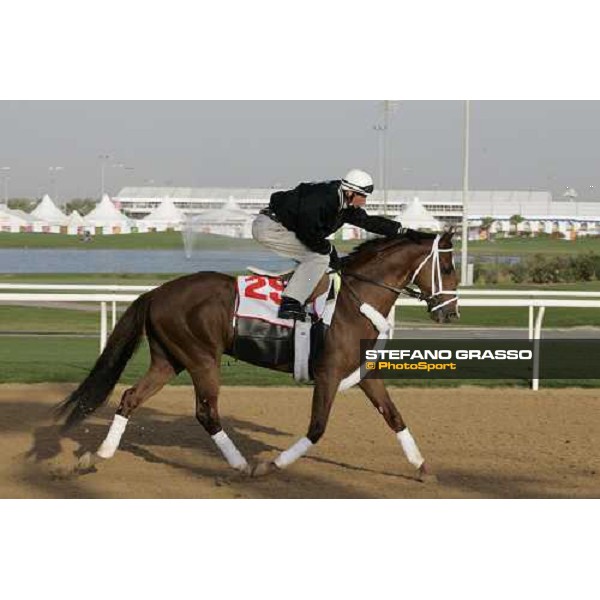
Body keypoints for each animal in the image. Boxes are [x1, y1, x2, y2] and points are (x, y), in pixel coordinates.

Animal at [57, 227, 460, 480]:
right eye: (447, 266)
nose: (450, 313)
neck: (354, 300)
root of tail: (156, 292)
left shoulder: (365, 374)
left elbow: (394, 416)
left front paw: (423, 468)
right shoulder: (328, 375)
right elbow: (316, 429)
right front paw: (271, 465)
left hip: (168, 360)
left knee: (130, 397)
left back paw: (97, 455)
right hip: (202, 359)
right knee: (206, 413)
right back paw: (241, 465)